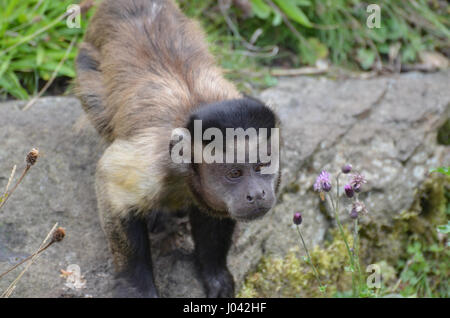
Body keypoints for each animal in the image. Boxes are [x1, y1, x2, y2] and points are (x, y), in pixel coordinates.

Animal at [76, 0, 282, 298]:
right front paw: (136, 284)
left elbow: (213, 218)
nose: (257, 193)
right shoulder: (151, 162)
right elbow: (112, 184)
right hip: (87, 66)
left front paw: (214, 273)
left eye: (262, 166)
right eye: (234, 173)